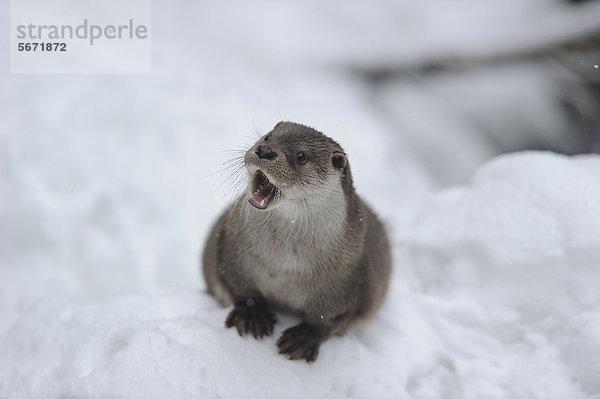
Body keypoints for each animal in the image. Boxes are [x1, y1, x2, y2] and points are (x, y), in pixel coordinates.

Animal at [202, 121, 392, 362]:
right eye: (268, 137)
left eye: (302, 156)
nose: (265, 151)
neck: (283, 265)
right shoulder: (232, 248)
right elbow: (237, 285)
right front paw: (253, 313)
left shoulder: (352, 276)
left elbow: (330, 317)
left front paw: (303, 337)